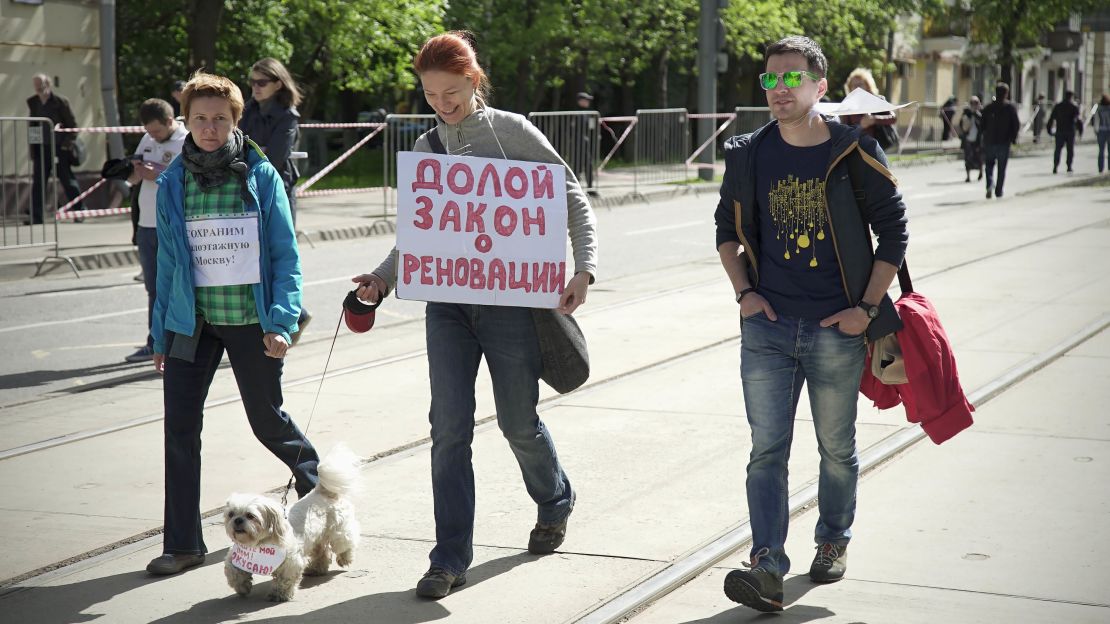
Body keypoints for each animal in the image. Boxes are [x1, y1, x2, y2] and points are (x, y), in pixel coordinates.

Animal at [223, 444, 361, 599]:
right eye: (231, 514)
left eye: (250, 516)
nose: (237, 520)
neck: (260, 543)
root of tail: (322, 491)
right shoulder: (237, 557)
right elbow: (233, 571)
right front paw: (242, 586)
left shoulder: (291, 561)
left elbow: (285, 578)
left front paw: (279, 594)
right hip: (315, 539)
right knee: (322, 552)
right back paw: (316, 568)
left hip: (339, 531)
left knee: (345, 543)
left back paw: (345, 558)